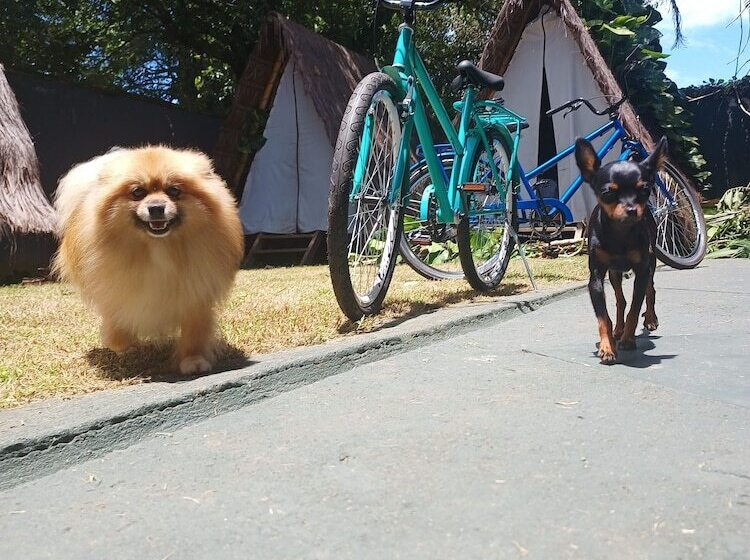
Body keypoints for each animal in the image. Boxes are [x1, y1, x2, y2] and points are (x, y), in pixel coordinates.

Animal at [54, 147, 245, 374]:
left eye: (174, 191)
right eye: (138, 192)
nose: (156, 207)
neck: (159, 249)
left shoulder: (196, 293)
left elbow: (194, 332)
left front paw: (193, 359)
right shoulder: (114, 291)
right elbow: (117, 324)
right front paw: (123, 344)